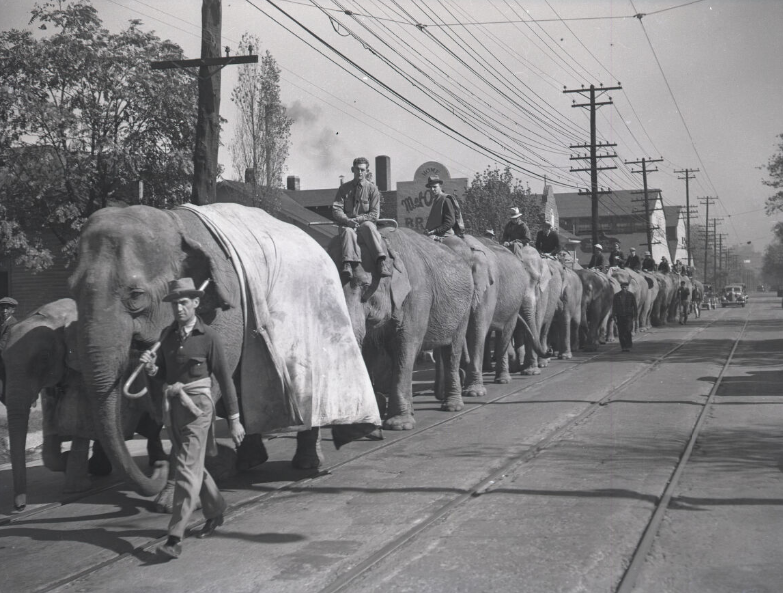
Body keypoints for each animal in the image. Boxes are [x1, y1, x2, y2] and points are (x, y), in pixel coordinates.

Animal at [1, 298, 164, 512]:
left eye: (44, 357)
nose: (20, 507)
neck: (55, 319)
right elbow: (51, 436)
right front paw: (66, 459)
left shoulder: (83, 368)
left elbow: (79, 425)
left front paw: (76, 488)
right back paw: (100, 467)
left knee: (149, 425)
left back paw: (157, 462)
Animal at [69, 202, 382, 500]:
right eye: (73, 289)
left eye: (135, 296)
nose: (156, 467)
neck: (173, 222)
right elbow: (168, 388)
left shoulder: (222, 312)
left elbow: (211, 378)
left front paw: (172, 497)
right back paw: (248, 462)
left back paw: (305, 465)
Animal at [328, 227, 474, 426]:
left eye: (365, 285)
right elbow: (370, 350)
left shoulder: (417, 295)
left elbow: (405, 346)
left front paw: (399, 424)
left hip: (464, 309)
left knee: (452, 349)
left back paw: (452, 406)